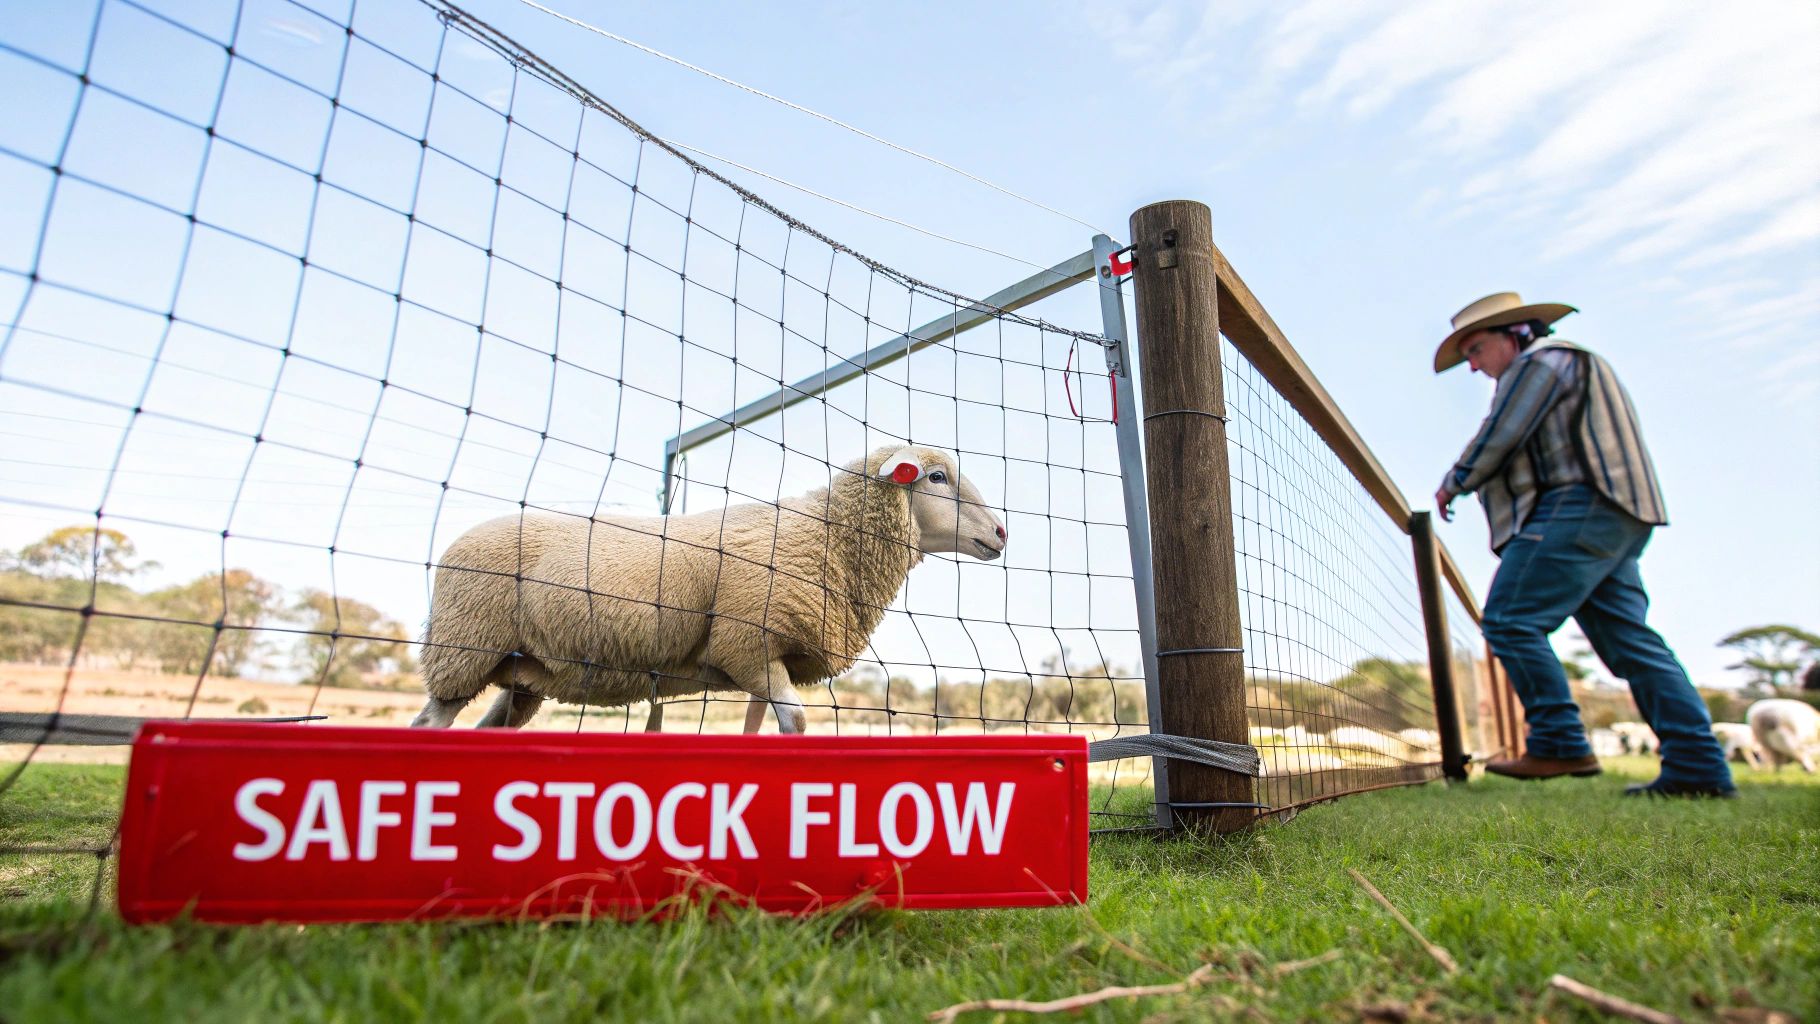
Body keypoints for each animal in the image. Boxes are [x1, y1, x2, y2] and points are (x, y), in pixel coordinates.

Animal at [409, 446, 1007, 735]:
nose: (1002, 533)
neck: (828, 536)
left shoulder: (763, 656)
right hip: (463, 651)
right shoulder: (746, 647)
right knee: (430, 722)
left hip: (523, 671)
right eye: (936, 478)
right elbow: (797, 721)